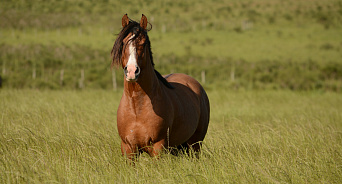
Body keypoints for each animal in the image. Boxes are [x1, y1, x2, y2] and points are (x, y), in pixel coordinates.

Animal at [111, 13, 210, 159]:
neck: (137, 109)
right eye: (123, 43)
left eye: (143, 43)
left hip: (195, 145)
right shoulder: (128, 149)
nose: (132, 71)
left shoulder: (158, 147)